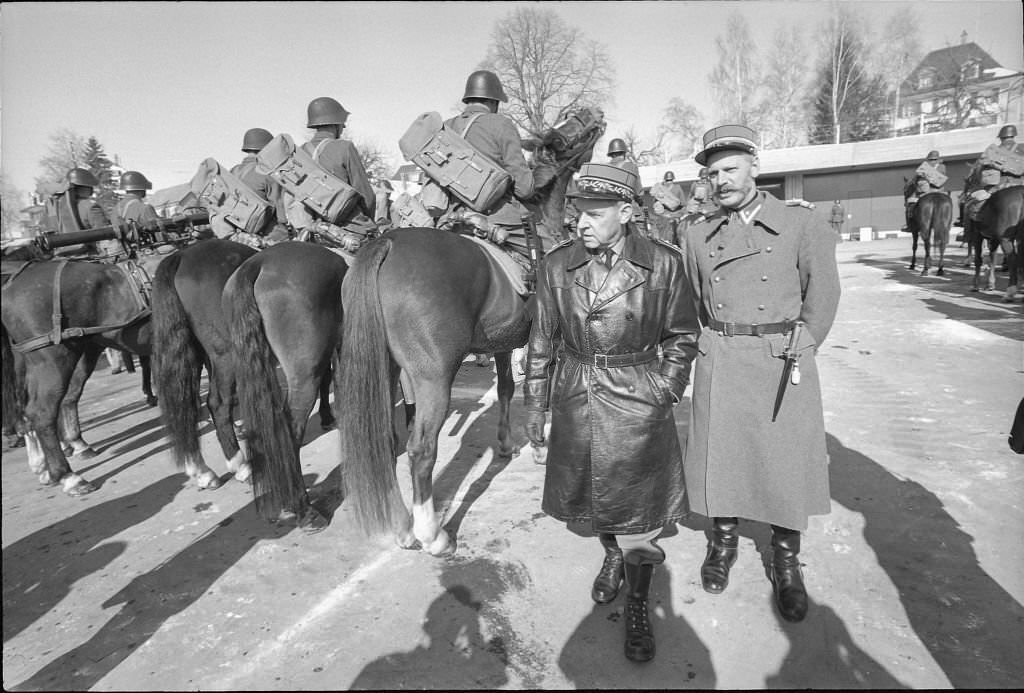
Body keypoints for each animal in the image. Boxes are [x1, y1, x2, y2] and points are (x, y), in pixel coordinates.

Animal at [2, 257, 152, 491]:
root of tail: (12, 282)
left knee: (50, 402)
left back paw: (50, 460)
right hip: (54, 360)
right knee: (41, 412)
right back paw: (68, 475)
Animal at [331, 105, 602, 552]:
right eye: (565, 133)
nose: (592, 113)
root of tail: (388, 243)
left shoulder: (506, 344)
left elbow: (509, 388)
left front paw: (508, 442)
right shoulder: (551, 339)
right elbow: (541, 389)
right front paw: (540, 445)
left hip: (384, 369)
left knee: (386, 441)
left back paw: (402, 525)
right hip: (432, 377)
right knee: (421, 449)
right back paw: (430, 533)